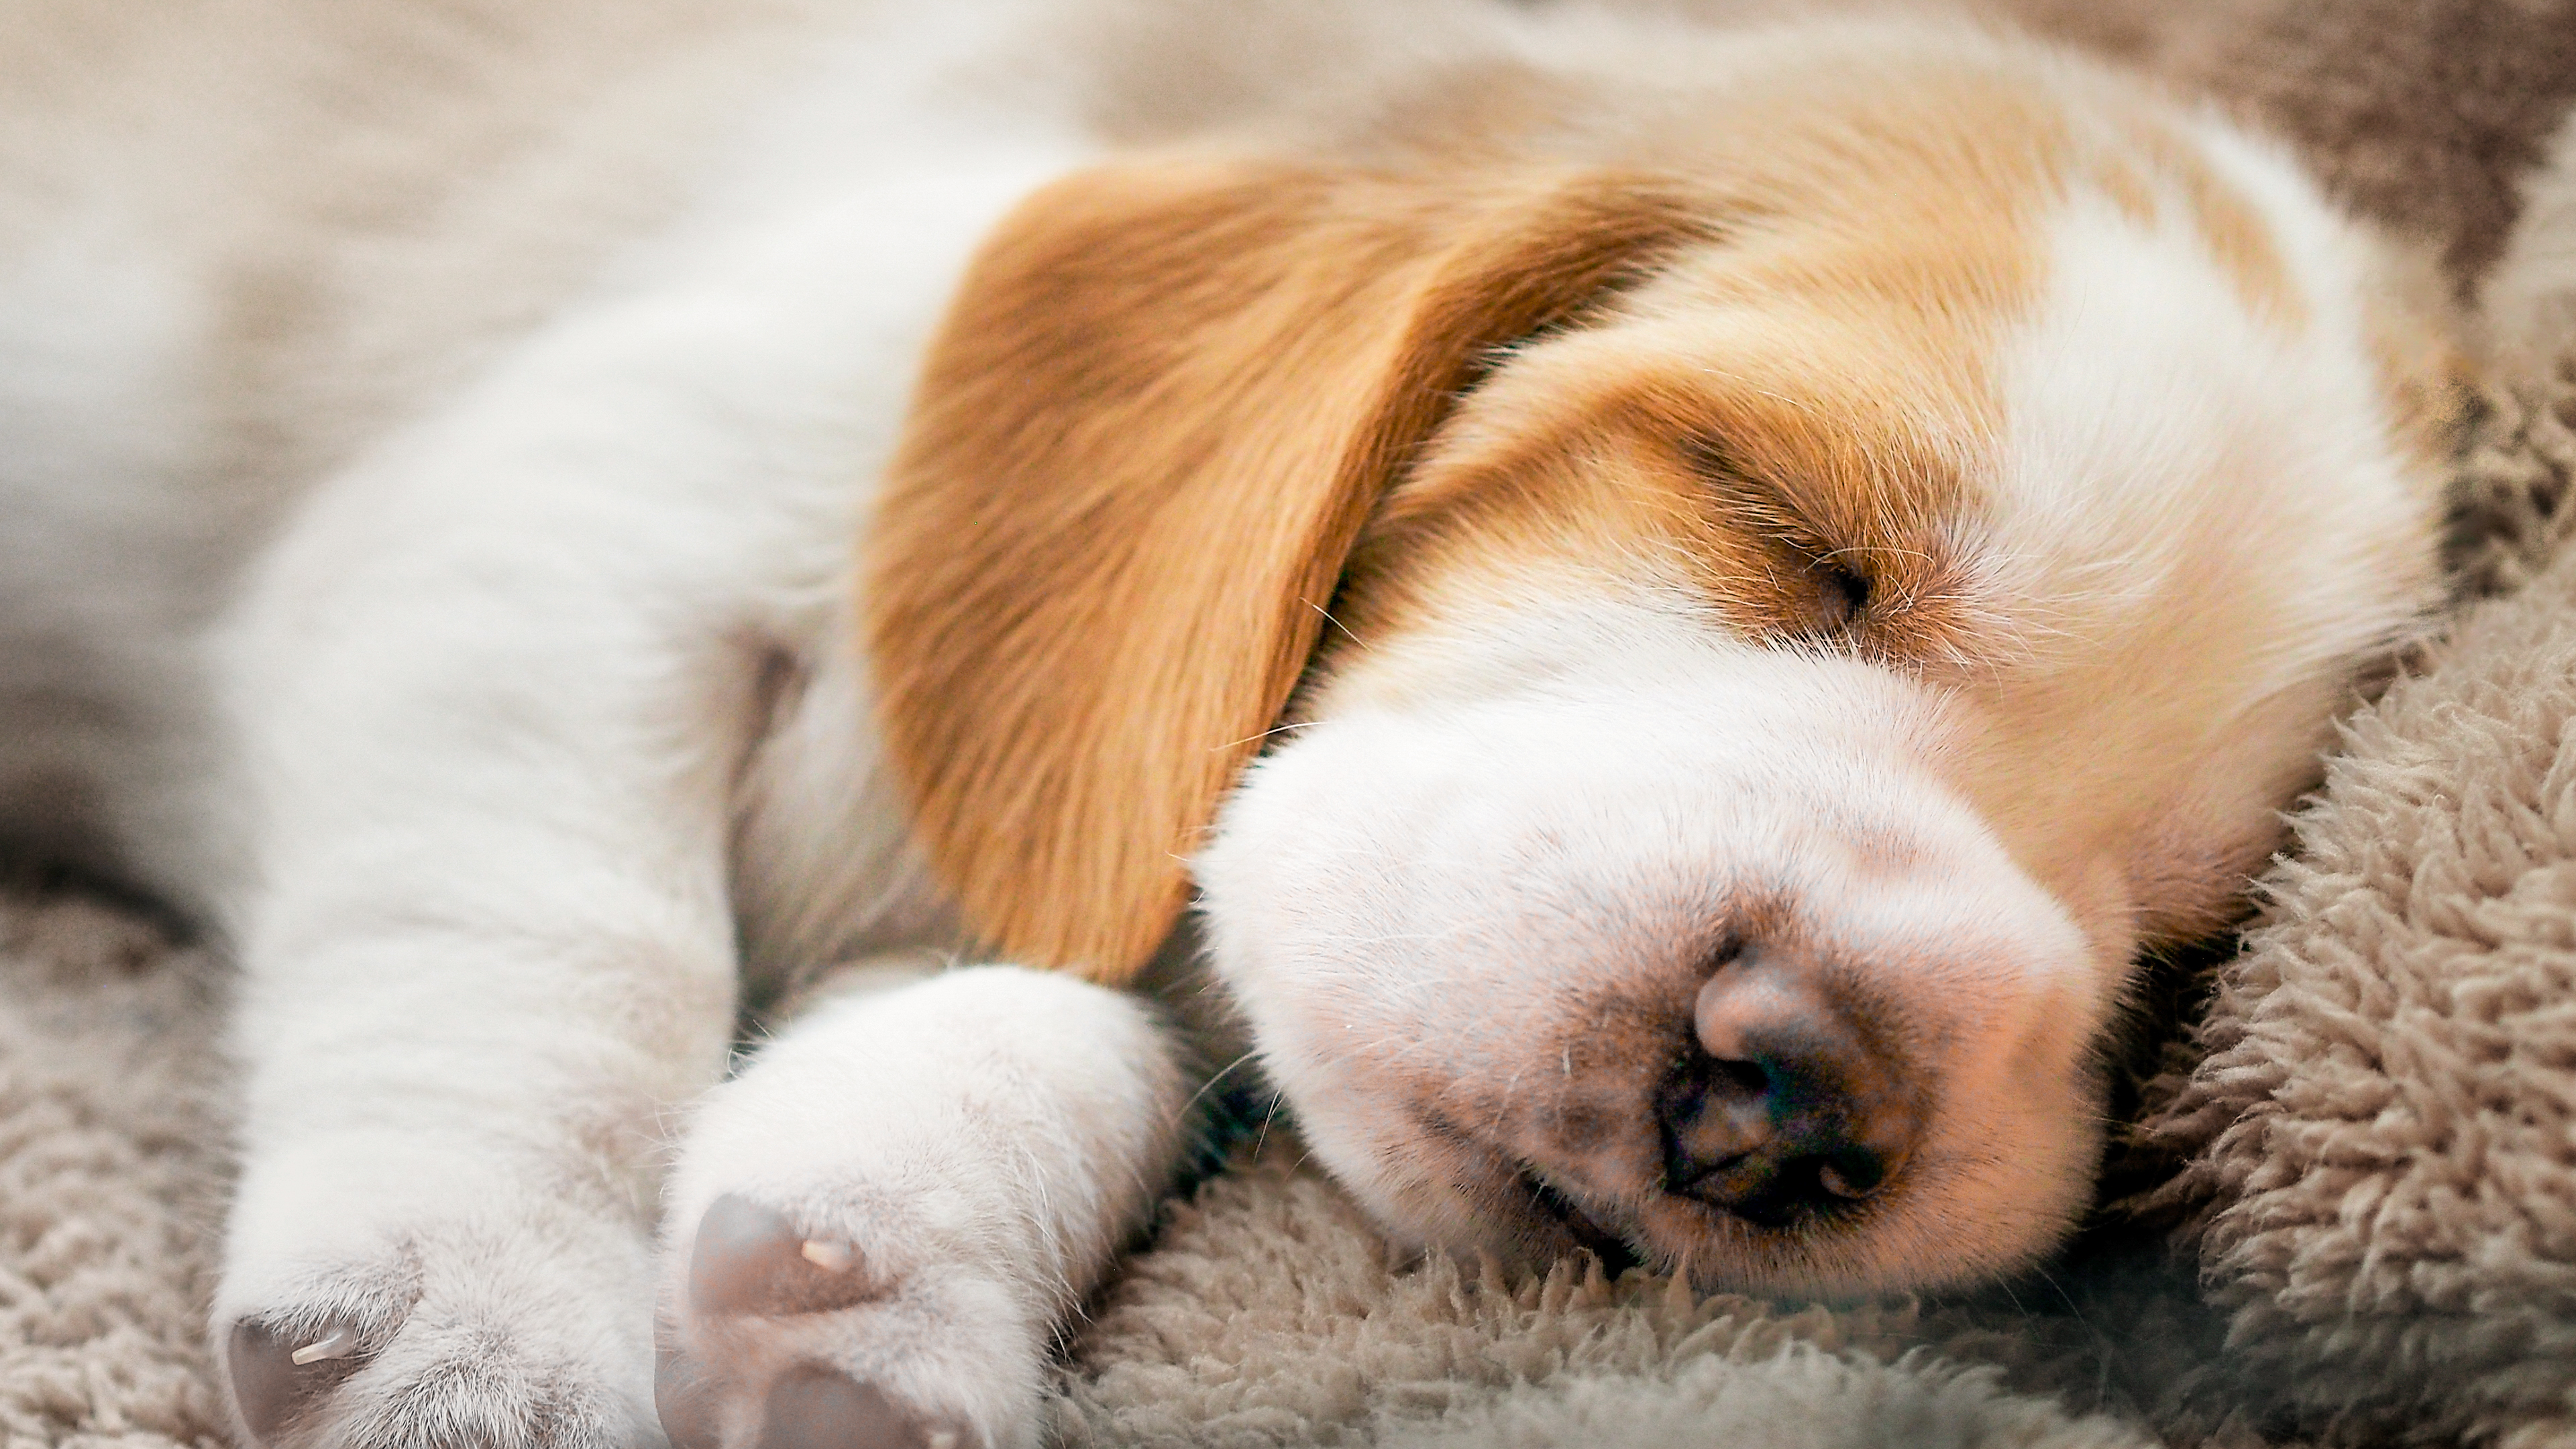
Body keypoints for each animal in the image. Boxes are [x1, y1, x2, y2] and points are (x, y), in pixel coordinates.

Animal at [0, 3, 2452, 1444]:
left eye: (2168, 957)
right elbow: (554, 942)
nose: (1796, 1094)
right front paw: (487, 1321)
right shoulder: (569, 512)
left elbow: (1062, 1029)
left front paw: (871, 1288)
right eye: (1785, 526)